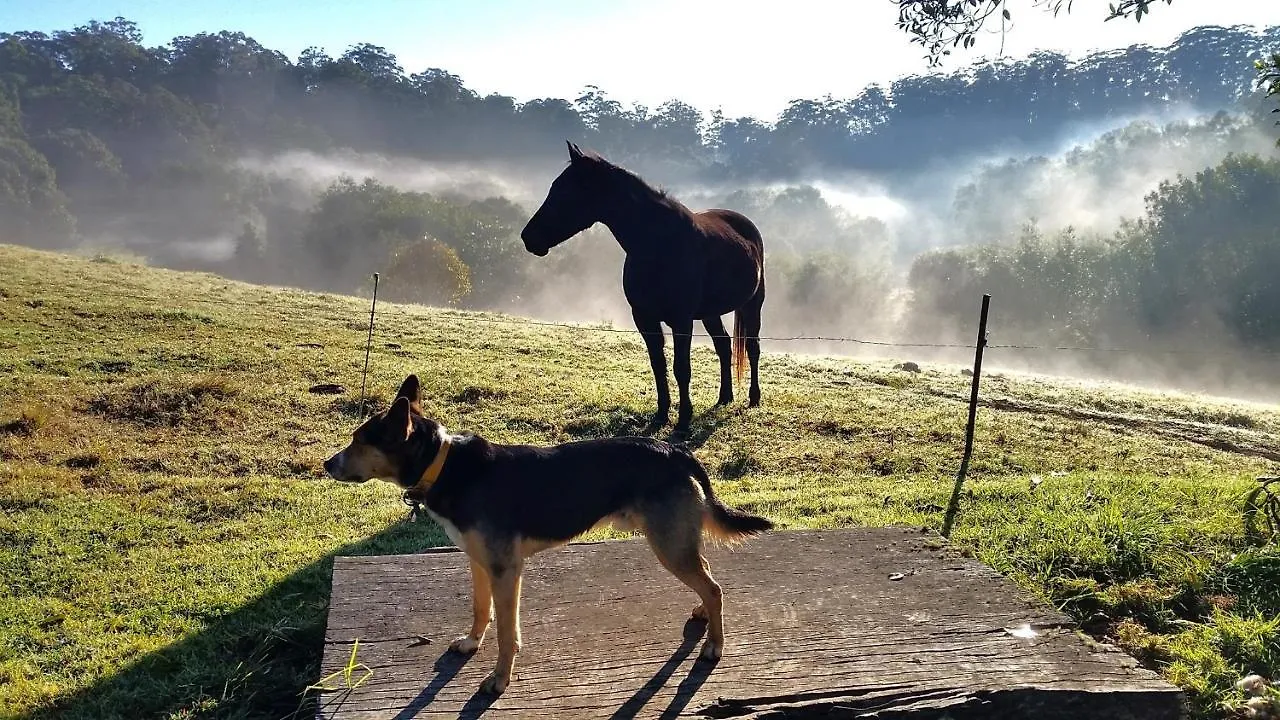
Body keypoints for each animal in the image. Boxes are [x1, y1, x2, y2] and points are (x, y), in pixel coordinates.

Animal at [325, 371, 773, 691]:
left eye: (359, 441)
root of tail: (676, 450)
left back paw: (714, 645)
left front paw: (499, 680)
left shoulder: (506, 570)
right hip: (677, 541)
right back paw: (702, 614)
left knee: (714, 587)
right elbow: (481, 610)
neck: (445, 464)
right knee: (706, 577)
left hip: (668, 545)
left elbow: (506, 632)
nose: (328, 465)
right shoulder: (479, 563)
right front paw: (472, 644)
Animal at [517, 139, 762, 430]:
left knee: (753, 349)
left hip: (752, 304)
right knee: (724, 346)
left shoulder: (681, 320)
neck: (658, 245)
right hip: (710, 312)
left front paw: (683, 420)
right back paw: (725, 397)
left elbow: (681, 368)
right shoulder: (644, 318)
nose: (529, 237)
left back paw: (754, 398)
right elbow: (658, 365)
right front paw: (662, 414)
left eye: (564, 192)